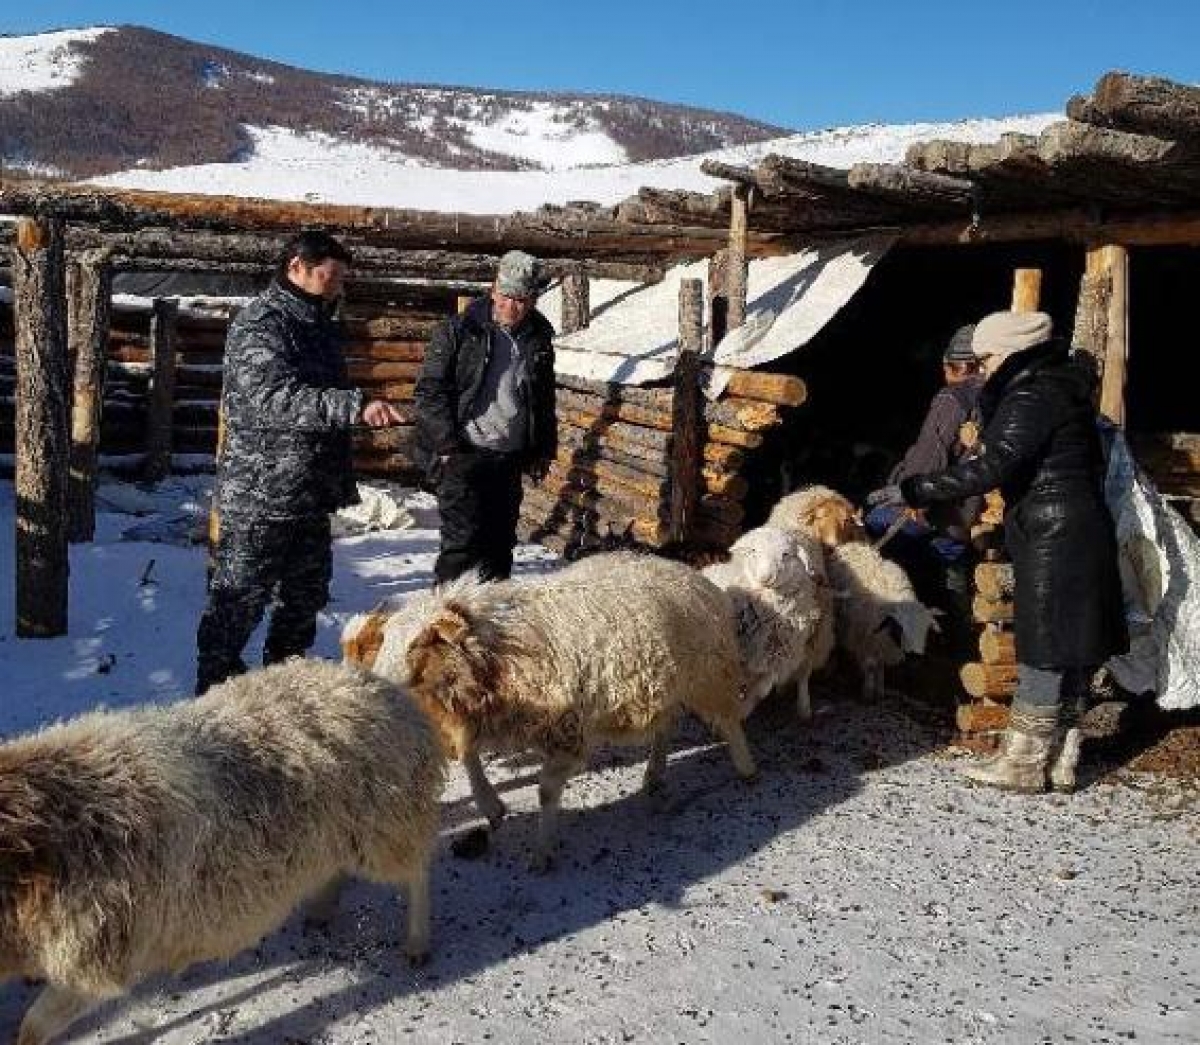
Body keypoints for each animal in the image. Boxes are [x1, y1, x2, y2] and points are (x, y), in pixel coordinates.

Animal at [0, 662, 448, 1045]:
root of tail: (389, 690)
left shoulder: (97, 961)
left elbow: (34, 1025)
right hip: (342, 835)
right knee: (337, 869)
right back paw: (320, 914)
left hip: (388, 827)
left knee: (418, 871)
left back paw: (417, 946)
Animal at [367, 551, 758, 868]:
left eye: (418, 647)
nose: (379, 691)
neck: (501, 647)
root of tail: (689, 571)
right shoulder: (483, 714)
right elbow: (469, 755)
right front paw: (492, 807)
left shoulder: (566, 730)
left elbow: (546, 792)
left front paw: (542, 852)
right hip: (664, 684)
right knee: (666, 724)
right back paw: (654, 773)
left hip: (708, 674)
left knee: (728, 720)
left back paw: (746, 768)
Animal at [700, 527, 835, 724]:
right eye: (754, 551)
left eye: (786, 554)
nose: (766, 577)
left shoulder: (777, 656)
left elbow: (763, 688)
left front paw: (742, 709)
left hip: (813, 643)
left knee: (803, 676)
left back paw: (803, 708)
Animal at [825, 539, 936, 700]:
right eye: (899, 627)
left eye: (926, 629)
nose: (915, 657)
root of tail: (854, 545)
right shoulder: (866, 639)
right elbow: (870, 666)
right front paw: (868, 692)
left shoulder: (881, 643)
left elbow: (881, 665)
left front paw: (880, 689)